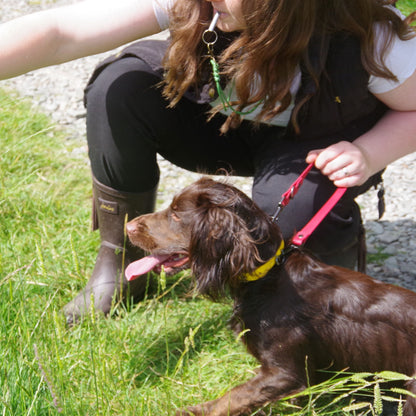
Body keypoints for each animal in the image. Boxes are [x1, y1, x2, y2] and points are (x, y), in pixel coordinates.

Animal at [126, 177, 416, 414]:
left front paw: (194, 411)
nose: (128, 226)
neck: (268, 276)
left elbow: (231, 398)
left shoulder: (286, 373)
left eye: (176, 215)